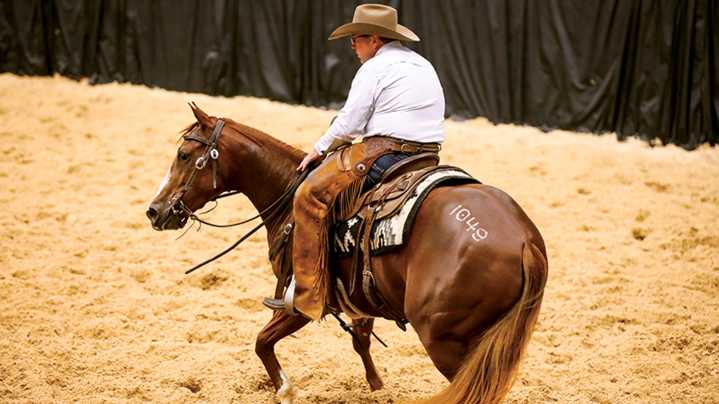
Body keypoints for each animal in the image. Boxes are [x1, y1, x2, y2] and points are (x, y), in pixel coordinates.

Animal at [146, 104, 548, 404]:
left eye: (184, 154)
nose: (154, 210)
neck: (287, 196)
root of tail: (524, 241)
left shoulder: (302, 301)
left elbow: (262, 342)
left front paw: (286, 389)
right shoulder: (359, 296)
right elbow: (361, 340)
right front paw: (377, 387)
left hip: (446, 341)